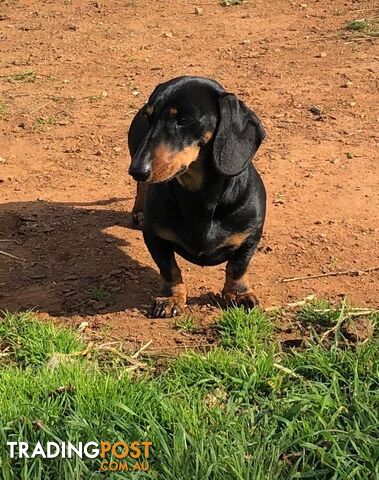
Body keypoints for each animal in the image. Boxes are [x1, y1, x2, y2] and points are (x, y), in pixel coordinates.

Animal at [129, 76, 266, 318]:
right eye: (148, 117)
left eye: (183, 120)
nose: (137, 170)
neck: (200, 197)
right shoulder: (154, 237)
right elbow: (169, 269)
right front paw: (171, 298)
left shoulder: (251, 236)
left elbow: (238, 267)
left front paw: (239, 294)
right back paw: (139, 211)